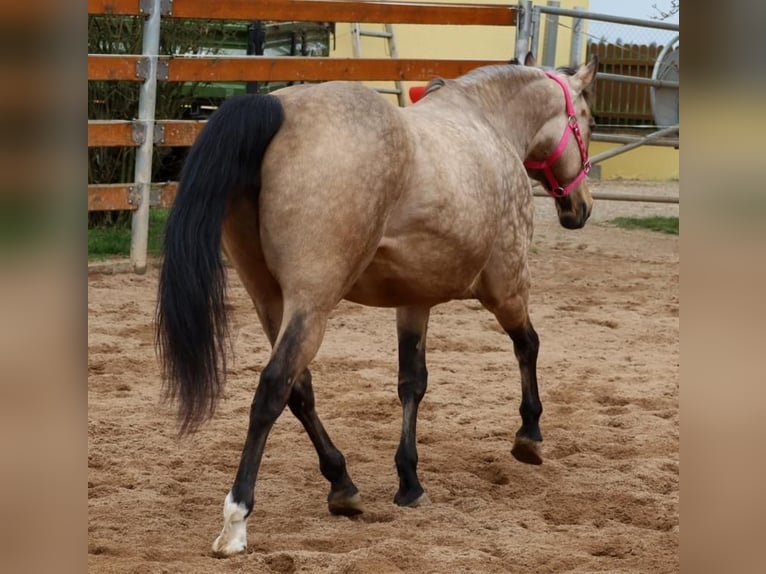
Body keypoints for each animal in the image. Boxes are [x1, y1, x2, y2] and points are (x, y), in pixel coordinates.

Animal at [156, 56, 600, 556]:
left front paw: (409, 480)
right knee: (273, 387)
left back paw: (342, 484)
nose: (580, 208)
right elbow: (529, 345)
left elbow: (411, 382)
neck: (489, 122)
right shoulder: (507, 288)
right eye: (588, 119)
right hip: (313, 302)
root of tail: (276, 106)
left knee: (298, 388)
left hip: (269, 300)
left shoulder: (414, 301)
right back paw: (236, 521)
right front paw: (530, 437)